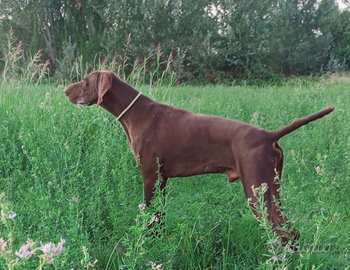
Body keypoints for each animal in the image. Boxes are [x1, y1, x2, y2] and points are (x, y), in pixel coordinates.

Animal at [65, 71, 334, 245]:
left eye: (85, 81)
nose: (65, 90)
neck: (136, 114)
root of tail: (269, 135)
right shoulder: (162, 179)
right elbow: (160, 218)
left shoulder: (150, 176)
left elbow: (150, 216)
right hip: (272, 187)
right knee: (290, 232)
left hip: (256, 190)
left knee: (282, 232)